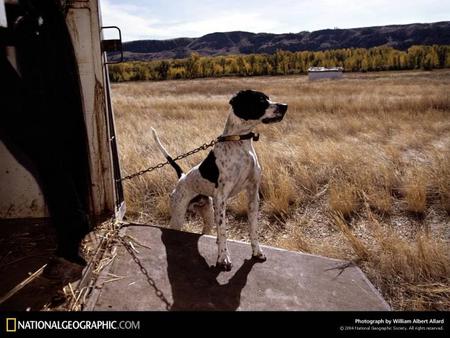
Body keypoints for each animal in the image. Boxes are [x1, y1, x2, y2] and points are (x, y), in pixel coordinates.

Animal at [152, 89, 288, 270]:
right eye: (260, 100)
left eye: (268, 98)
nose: (285, 106)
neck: (240, 143)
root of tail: (182, 177)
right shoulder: (221, 198)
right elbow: (223, 231)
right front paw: (223, 258)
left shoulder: (253, 194)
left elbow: (253, 228)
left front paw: (256, 251)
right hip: (179, 215)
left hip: (208, 215)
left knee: (207, 231)